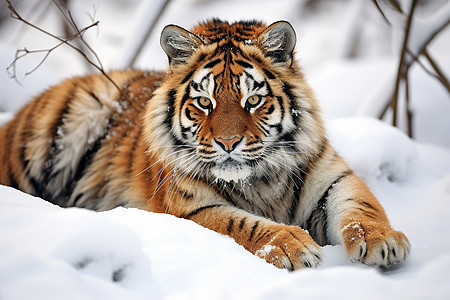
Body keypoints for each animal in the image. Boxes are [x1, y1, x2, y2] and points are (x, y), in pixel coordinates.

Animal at [0, 19, 410, 270]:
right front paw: (291, 245)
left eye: (252, 100)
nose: (228, 142)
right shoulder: (190, 208)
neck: (258, 180)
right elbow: (240, 224)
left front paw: (383, 240)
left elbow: (362, 206)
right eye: (204, 102)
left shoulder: (333, 178)